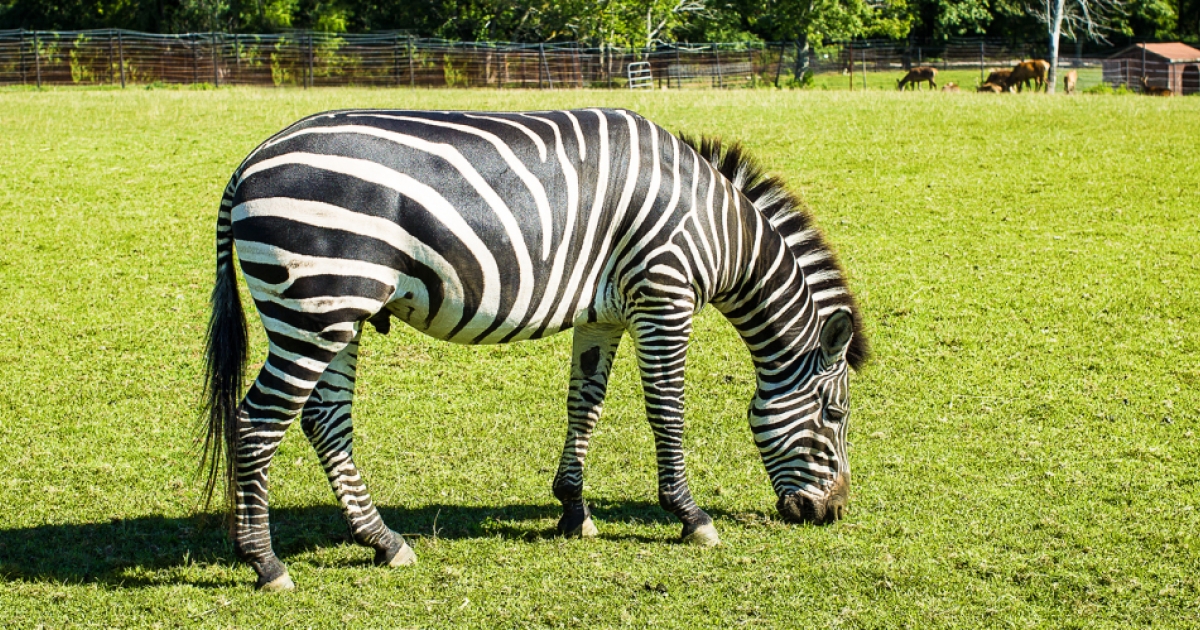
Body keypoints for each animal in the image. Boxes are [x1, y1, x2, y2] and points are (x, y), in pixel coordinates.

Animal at [204, 106, 864, 590]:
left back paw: (383, 542)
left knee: (324, 420)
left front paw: (574, 511)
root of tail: (248, 161)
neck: (719, 229)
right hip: (318, 305)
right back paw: (266, 564)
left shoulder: (605, 315)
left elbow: (585, 406)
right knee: (258, 423)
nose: (831, 513)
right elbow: (667, 412)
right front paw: (690, 517)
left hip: (336, 311)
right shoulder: (664, 297)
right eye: (835, 415)